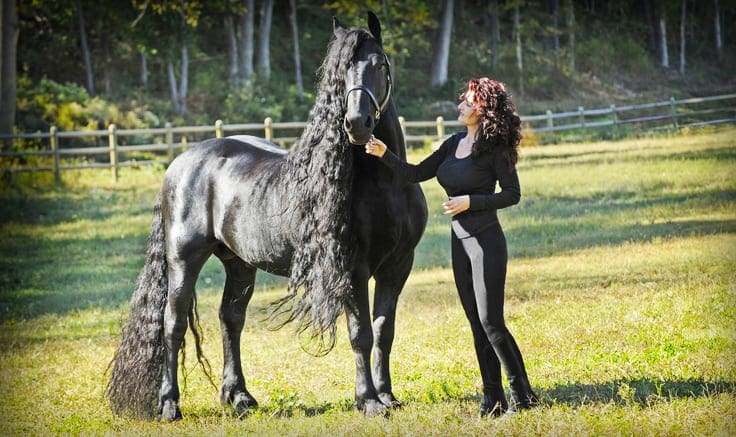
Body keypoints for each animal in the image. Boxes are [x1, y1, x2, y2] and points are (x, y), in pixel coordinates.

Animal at [106, 12, 427, 421]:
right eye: (338, 73)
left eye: (380, 65)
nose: (357, 123)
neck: (386, 184)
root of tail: (179, 164)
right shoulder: (352, 268)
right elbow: (361, 334)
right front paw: (368, 400)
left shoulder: (398, 265)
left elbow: (385, 331)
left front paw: (387, 396)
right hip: (183, 260)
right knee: (172, 325)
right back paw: (169, 406)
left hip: (239, 264)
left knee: (230, 319)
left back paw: (239, 396)